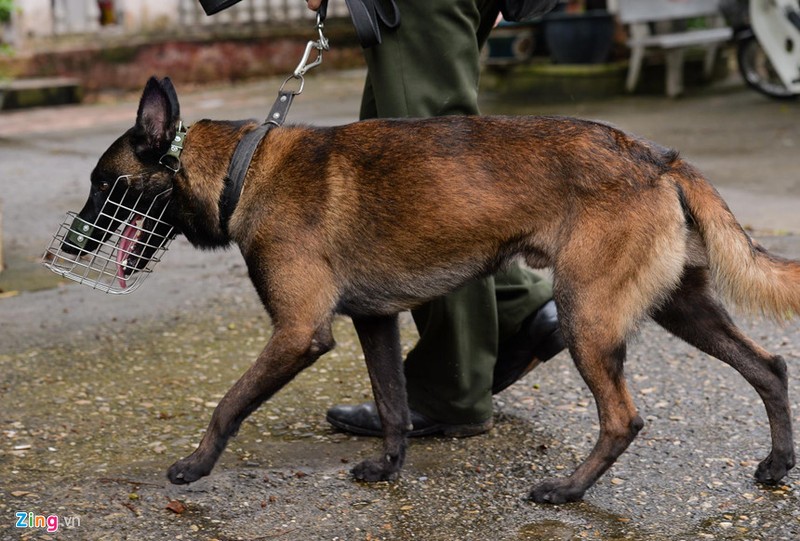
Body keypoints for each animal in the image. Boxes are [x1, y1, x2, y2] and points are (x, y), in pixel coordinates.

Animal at [64, 77, 800, 502]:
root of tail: (657, 155)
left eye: (104, 185)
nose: (70, 245)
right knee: (769, 365)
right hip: (683, 307)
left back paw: (567, 490)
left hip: (590, 319)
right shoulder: (374, 323)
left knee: (623, 417)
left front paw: (194, 466)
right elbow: (393, 405)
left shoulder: (299, 333)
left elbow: (229, 403)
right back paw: (776, 464)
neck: (244, 167)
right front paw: (389, 468)